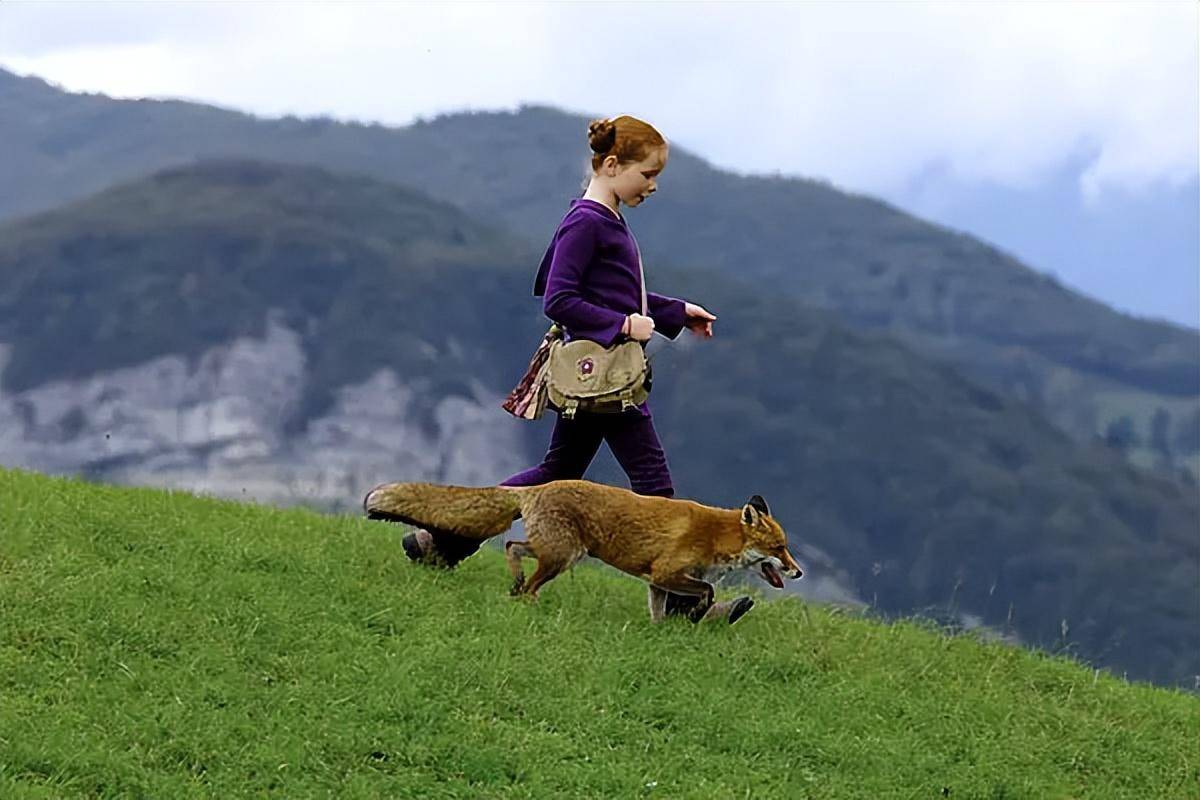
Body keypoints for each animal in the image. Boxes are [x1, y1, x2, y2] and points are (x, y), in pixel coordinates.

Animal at [360, 479, 801, 623]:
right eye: (779, 548)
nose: (798, 572)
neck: (715, 536)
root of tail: (536, 487)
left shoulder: (656, 582)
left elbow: (659, 614)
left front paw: (664, 633)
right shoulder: (667, 573)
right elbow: (706, 591)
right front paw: (696, 613)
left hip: (557, 552)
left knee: (512, 547)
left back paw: (514, 583)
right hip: (561, 557)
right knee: (527, 580)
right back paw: (527, 602)